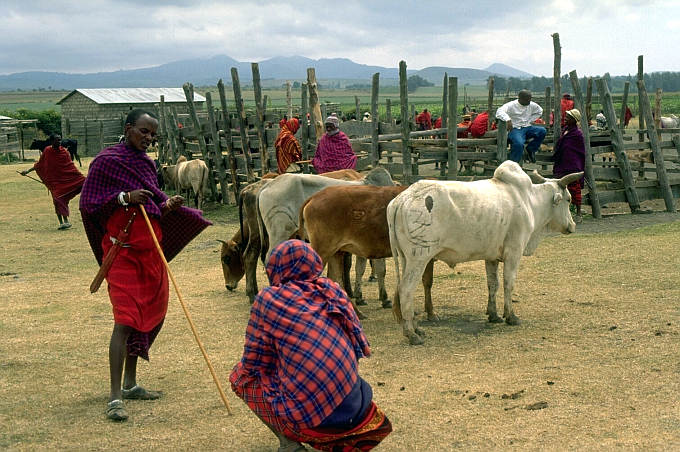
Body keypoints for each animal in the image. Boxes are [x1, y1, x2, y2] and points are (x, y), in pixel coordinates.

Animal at [386, 161, 580, 344]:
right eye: (569, 199)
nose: (572, 226)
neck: (529, 201)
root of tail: (402, 199)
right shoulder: (514, 252)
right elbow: (508, 283)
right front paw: (511, 316)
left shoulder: (491, 257)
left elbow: (493, 284)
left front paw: (493, 315)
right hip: (419, 258)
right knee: (406, 290)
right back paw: (411, 334)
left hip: (405, 259)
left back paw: (417, 329)